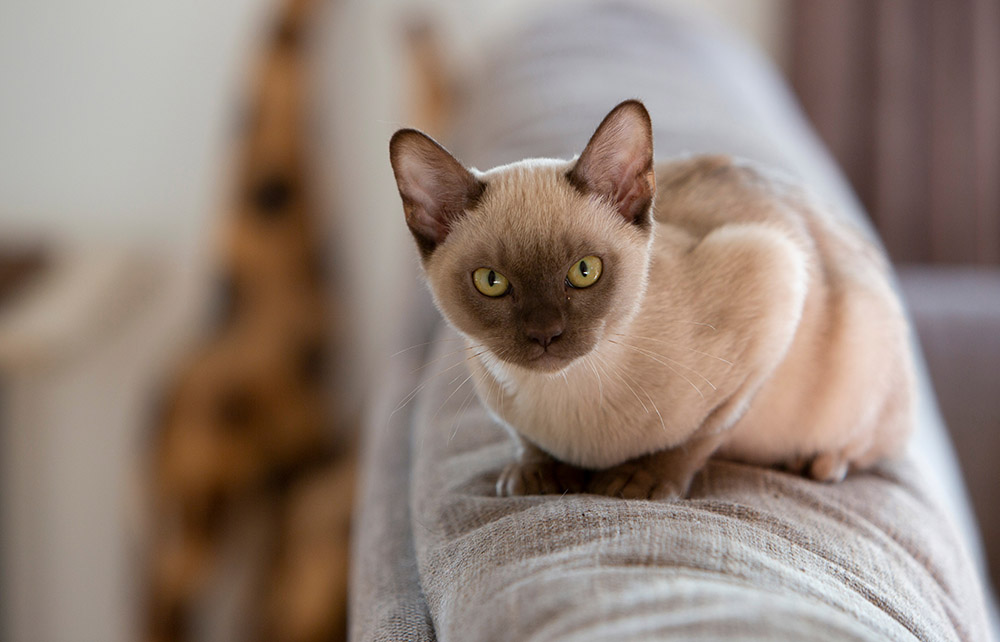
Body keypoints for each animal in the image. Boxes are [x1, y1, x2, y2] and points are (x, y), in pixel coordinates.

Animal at [388, 101, 916, 500]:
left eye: (584, 272)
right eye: (492, 282)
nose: (545, 335)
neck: (564, 398)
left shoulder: (775, 275)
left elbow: (700, 437)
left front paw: (639, 481)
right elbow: (526, 441)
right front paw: (537, 473)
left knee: (874, 443)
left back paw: (822, 461)